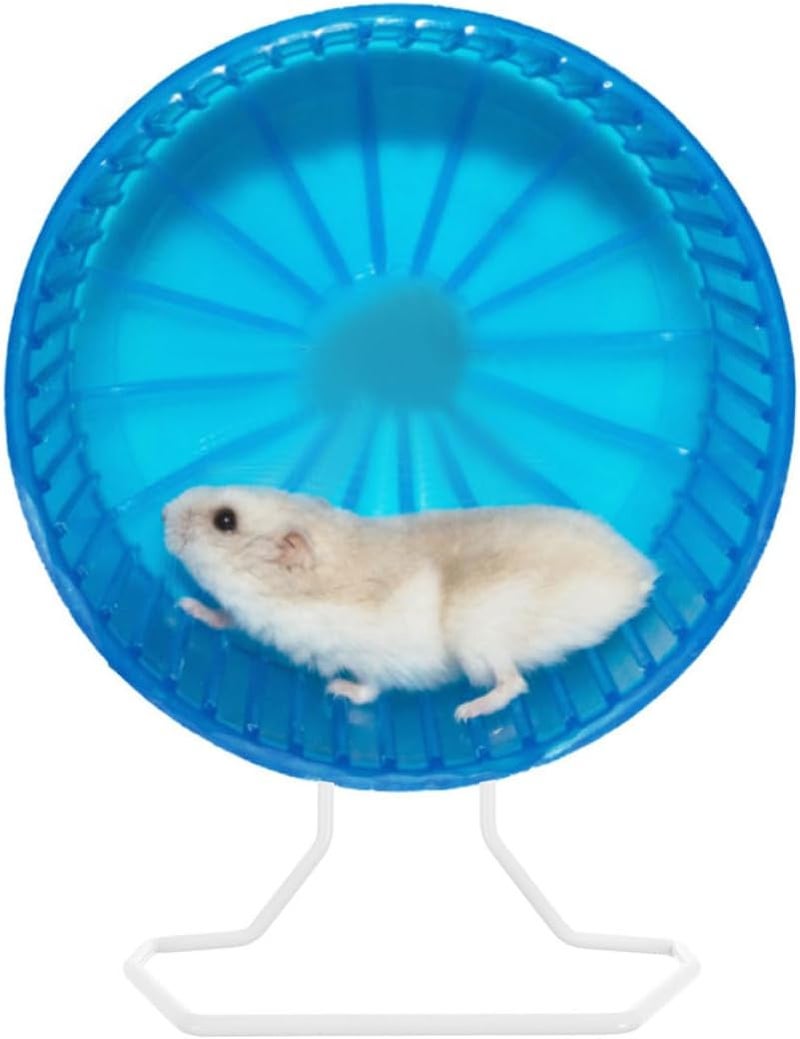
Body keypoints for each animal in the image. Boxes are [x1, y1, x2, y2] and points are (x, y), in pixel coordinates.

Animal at [163, 487, 657, 721]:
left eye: (225, 520)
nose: (163, 512)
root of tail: (643, 574)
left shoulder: (370, 659)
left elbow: (368, 690)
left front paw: (336, 690)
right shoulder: (246, 617)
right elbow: (224, 617)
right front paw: (187, 605)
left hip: (476, 637)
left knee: (513, 683)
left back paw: (465, 712)